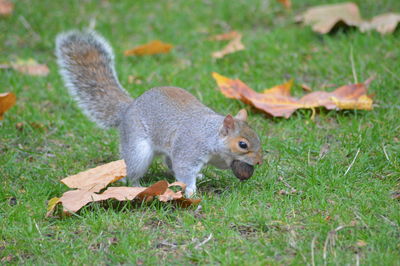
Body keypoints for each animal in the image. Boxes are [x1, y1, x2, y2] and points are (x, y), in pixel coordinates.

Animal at [55, 29, 262, 195]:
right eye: (242, 144)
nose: (259, 161)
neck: (211, 134)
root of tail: (129, 108)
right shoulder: (189, 149)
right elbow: (184, 169)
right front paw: (190, 190)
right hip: (138, 149)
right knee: (133, 170)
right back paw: (137, 187)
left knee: (169, 163)